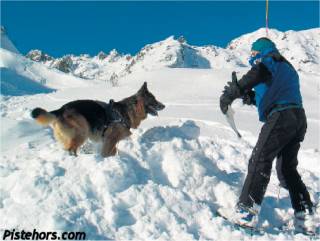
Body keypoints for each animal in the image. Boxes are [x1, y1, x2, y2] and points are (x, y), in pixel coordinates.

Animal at [31, 82, 165, 157]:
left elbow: (113, 152)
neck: (129, 110)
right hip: (82, 132)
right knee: (71, 150)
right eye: (153, 99)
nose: (164, 106)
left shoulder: (110, 141)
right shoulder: (110, 139)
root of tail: (61, 109)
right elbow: (107, 153)